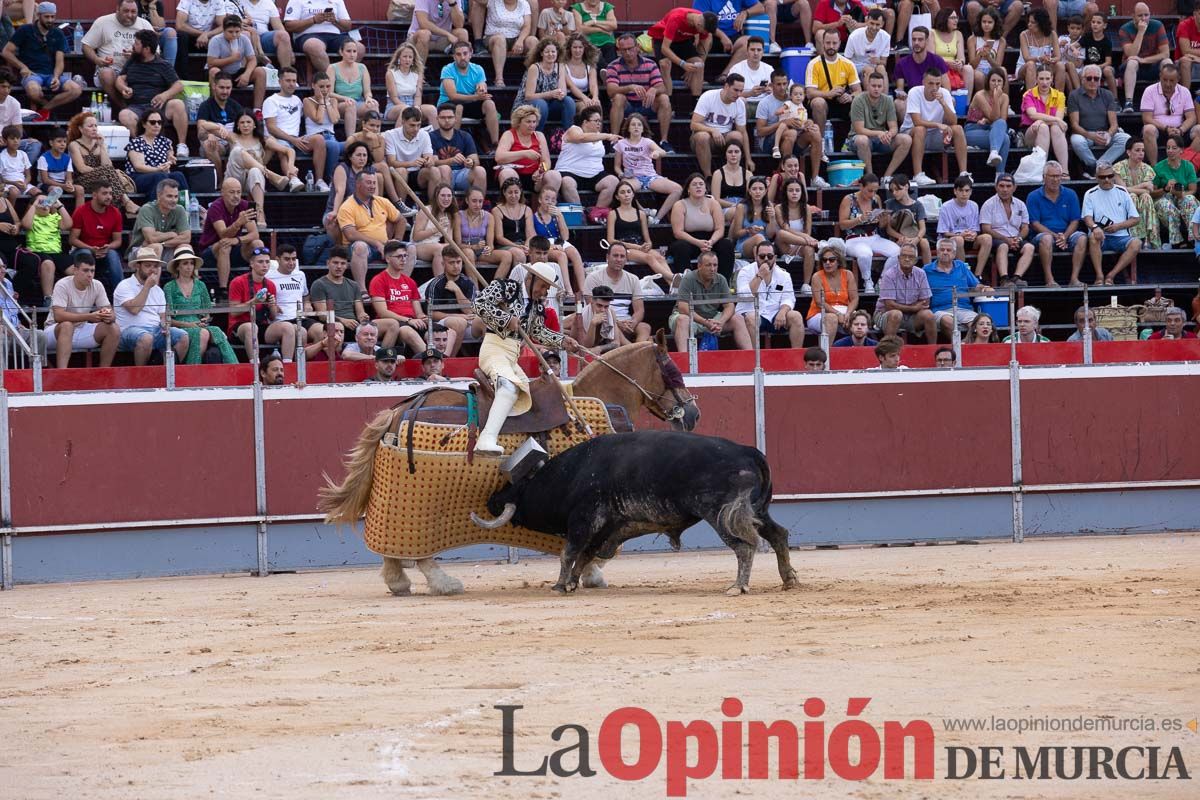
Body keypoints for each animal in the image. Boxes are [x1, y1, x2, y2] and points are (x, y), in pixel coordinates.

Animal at [319, 333, 700, 594]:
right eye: (673, 370)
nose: (693, 413)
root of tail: (403, 409)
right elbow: (590, 540)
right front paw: (591, 574)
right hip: (422, 492)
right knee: (419, 543)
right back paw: (444, 582)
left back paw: (398, 581)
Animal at [472, 431, 801, 594]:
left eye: (520, 483)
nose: (492, 501)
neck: (572, 473)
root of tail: (748, 450)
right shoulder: (608, 527)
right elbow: (586, 554)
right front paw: (573, 583)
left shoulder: (584, 518)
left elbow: (570, 552)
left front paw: (560, 585)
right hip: (758, 510)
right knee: (778, 534)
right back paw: (789, 580)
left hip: (722, 514)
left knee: (744, 546)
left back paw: (737, 586)